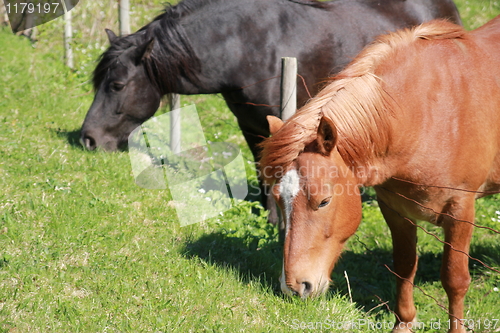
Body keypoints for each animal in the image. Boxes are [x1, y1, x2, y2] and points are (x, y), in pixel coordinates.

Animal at [260, 16, 500, 332]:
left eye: (324, 201)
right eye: (278, 199)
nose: (295, 287)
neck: (427, 114)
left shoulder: (461, 212)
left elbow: (454, 279)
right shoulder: (396, 210)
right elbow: (404, 266)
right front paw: (404, 323)